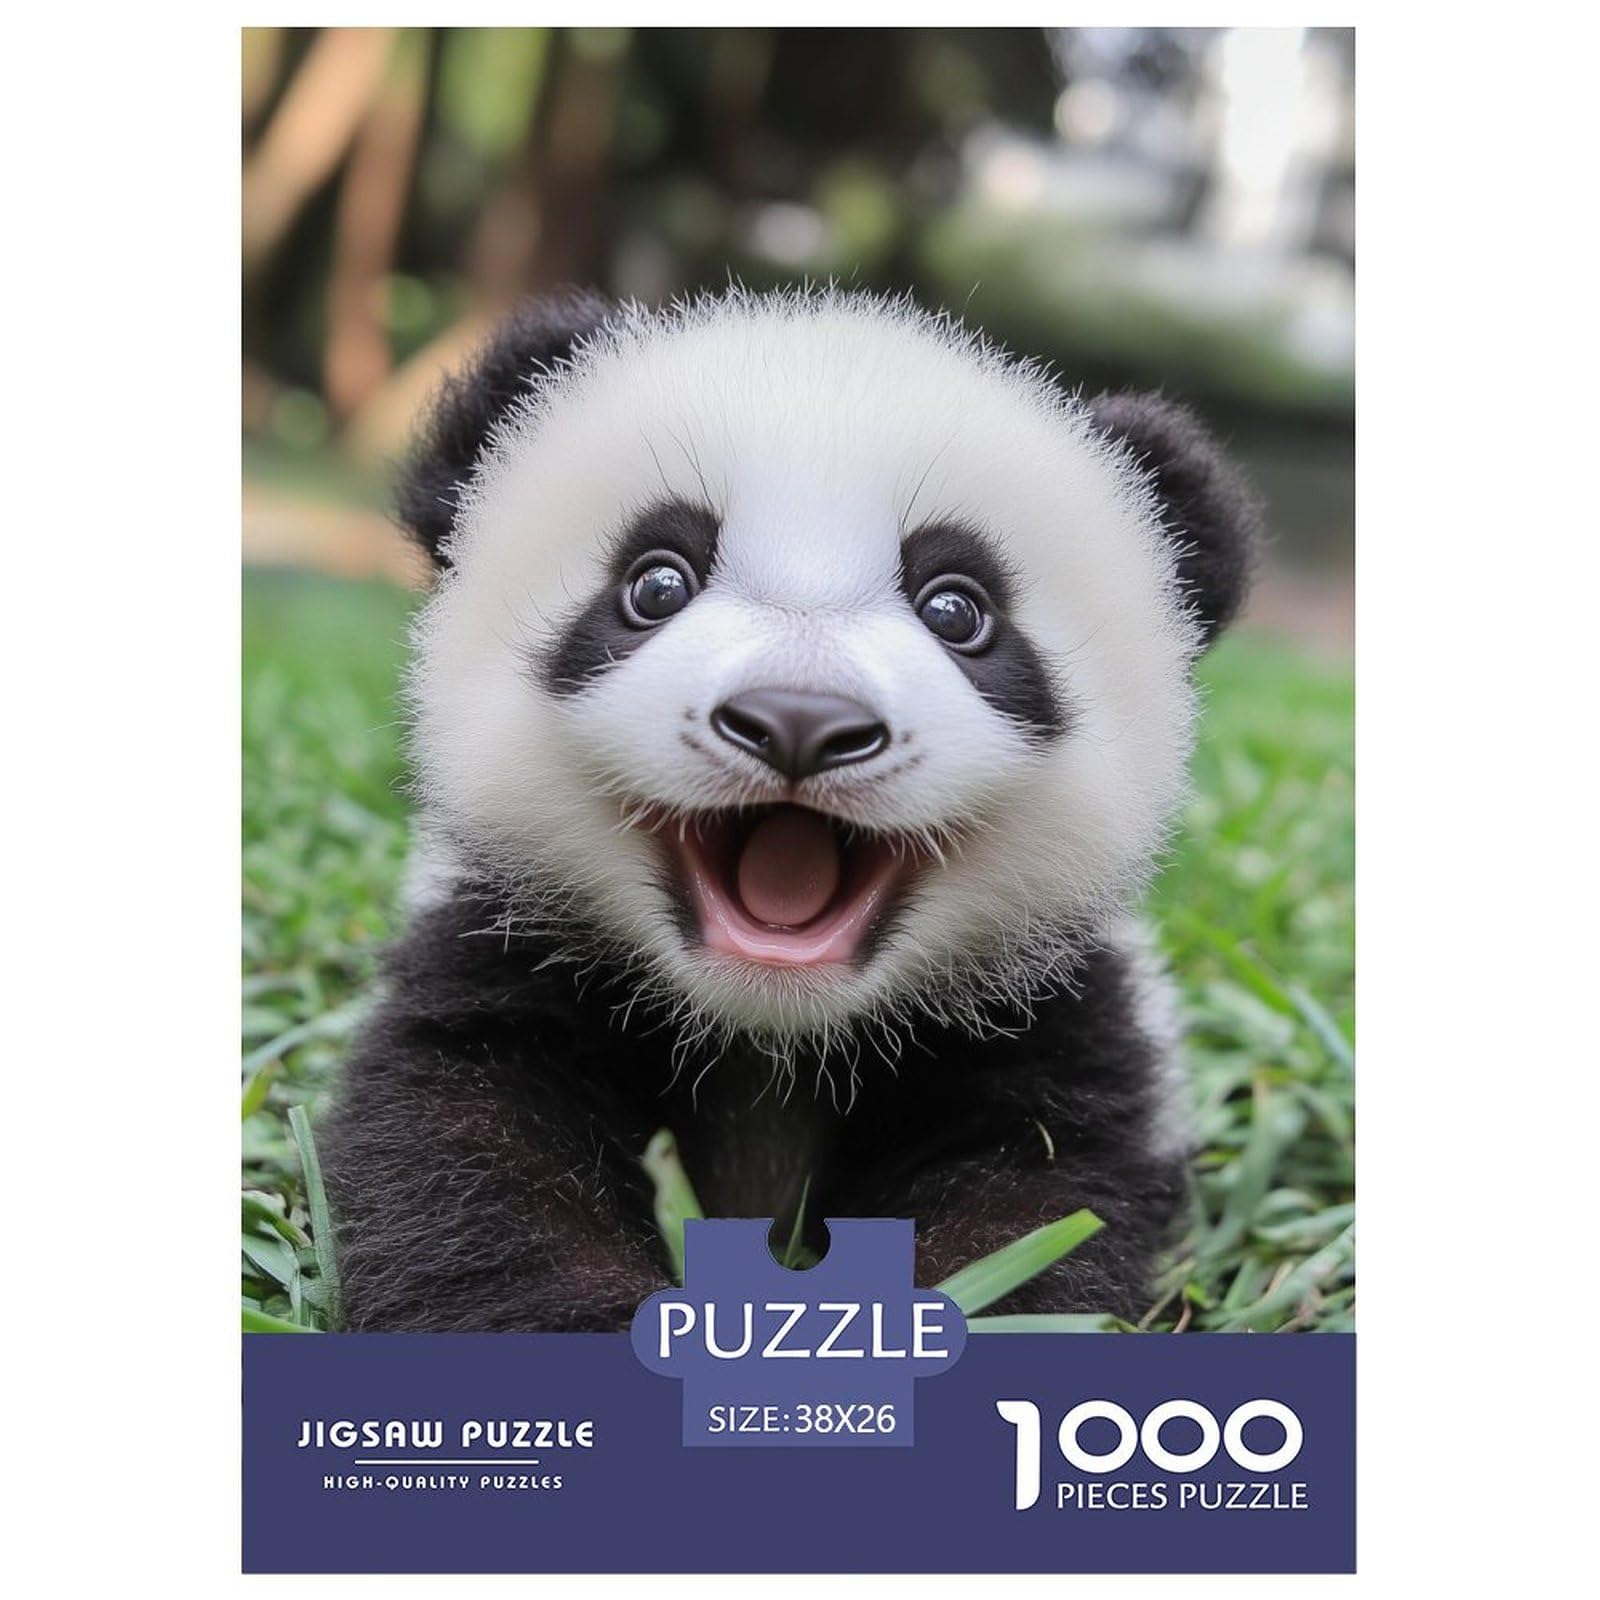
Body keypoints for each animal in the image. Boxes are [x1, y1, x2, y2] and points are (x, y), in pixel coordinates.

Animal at [321, 286, 1259, 1332]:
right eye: (656, 583)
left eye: (957, 610)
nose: (800, 723)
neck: (773, 1040)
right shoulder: (501, 954)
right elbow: (472, 1173)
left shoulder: (1054, 1019)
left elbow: (1040, 1211)